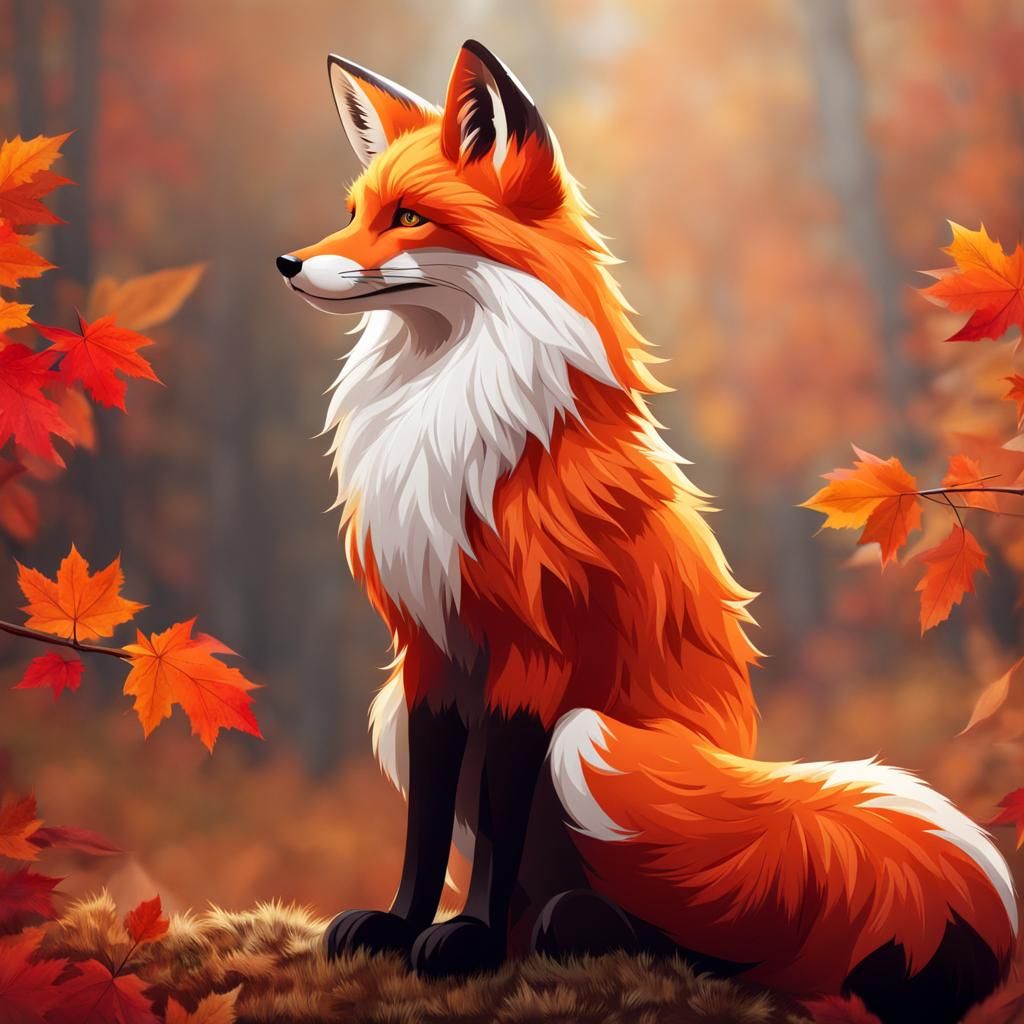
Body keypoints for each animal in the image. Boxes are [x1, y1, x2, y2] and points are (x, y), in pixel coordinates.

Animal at [277, 40, 1018, 1023]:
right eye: (352, 213)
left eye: (407, 218)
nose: (286, 262)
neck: (446, 416)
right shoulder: (428, 656)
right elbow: (427, 825)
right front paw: (402, 927)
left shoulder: (533, 658)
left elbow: (498, 819)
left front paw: (464, 941)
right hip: (397, 710)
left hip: (591, 743)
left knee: (711, 943)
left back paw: (582, 933)